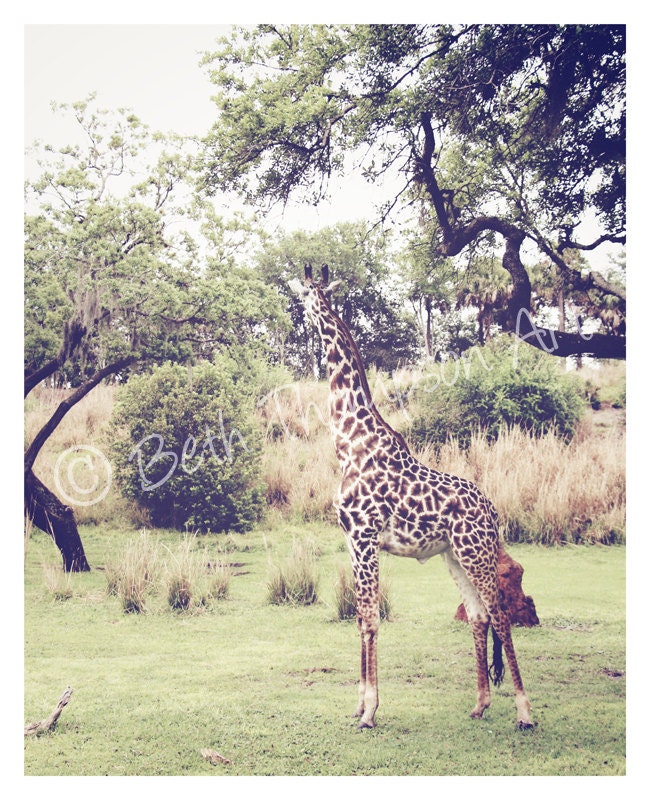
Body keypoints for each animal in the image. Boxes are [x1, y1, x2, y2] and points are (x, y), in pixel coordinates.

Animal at [288, 264, 533, 731]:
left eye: (306, 290)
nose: (296, 301)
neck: (348, 441)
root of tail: (492, 510)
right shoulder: (351, 540)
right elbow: (359, 616)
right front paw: (358, 705)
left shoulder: (364, 536)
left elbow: (370, 618)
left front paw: (369, 711)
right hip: (454, 555)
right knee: (478, 616)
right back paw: (480, 705)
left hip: (475, 553)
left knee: (501, 616)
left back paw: (524, 713)